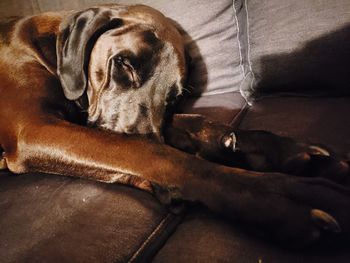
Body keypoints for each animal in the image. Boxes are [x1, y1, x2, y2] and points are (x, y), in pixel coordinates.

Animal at [0, 3, 350, 248]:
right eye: (123, 63)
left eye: (176, 96)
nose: (140, 133)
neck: (48, 49)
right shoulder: (34, 128)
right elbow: (161, 156)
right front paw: (279, 198)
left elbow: (196, 123)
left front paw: (283, 150)